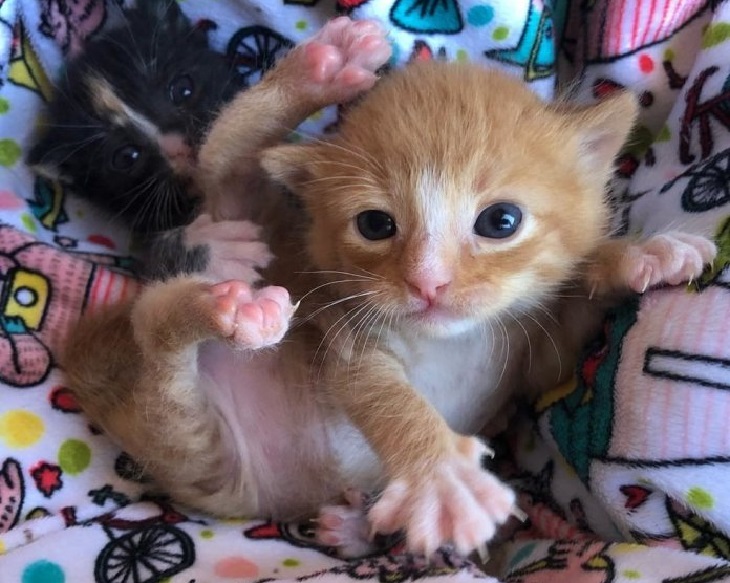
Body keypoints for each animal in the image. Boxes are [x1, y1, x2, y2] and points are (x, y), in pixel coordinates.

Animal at [62, 60, 712, 560]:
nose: (428, 284)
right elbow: (380, 395)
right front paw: (441, 475)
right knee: (211, 189)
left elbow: (573, 321)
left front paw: (642, 255)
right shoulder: (349, 339)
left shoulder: (534, 358)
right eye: (375, 225)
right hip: (200, 445)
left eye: (501, 221)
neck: (452, 338)